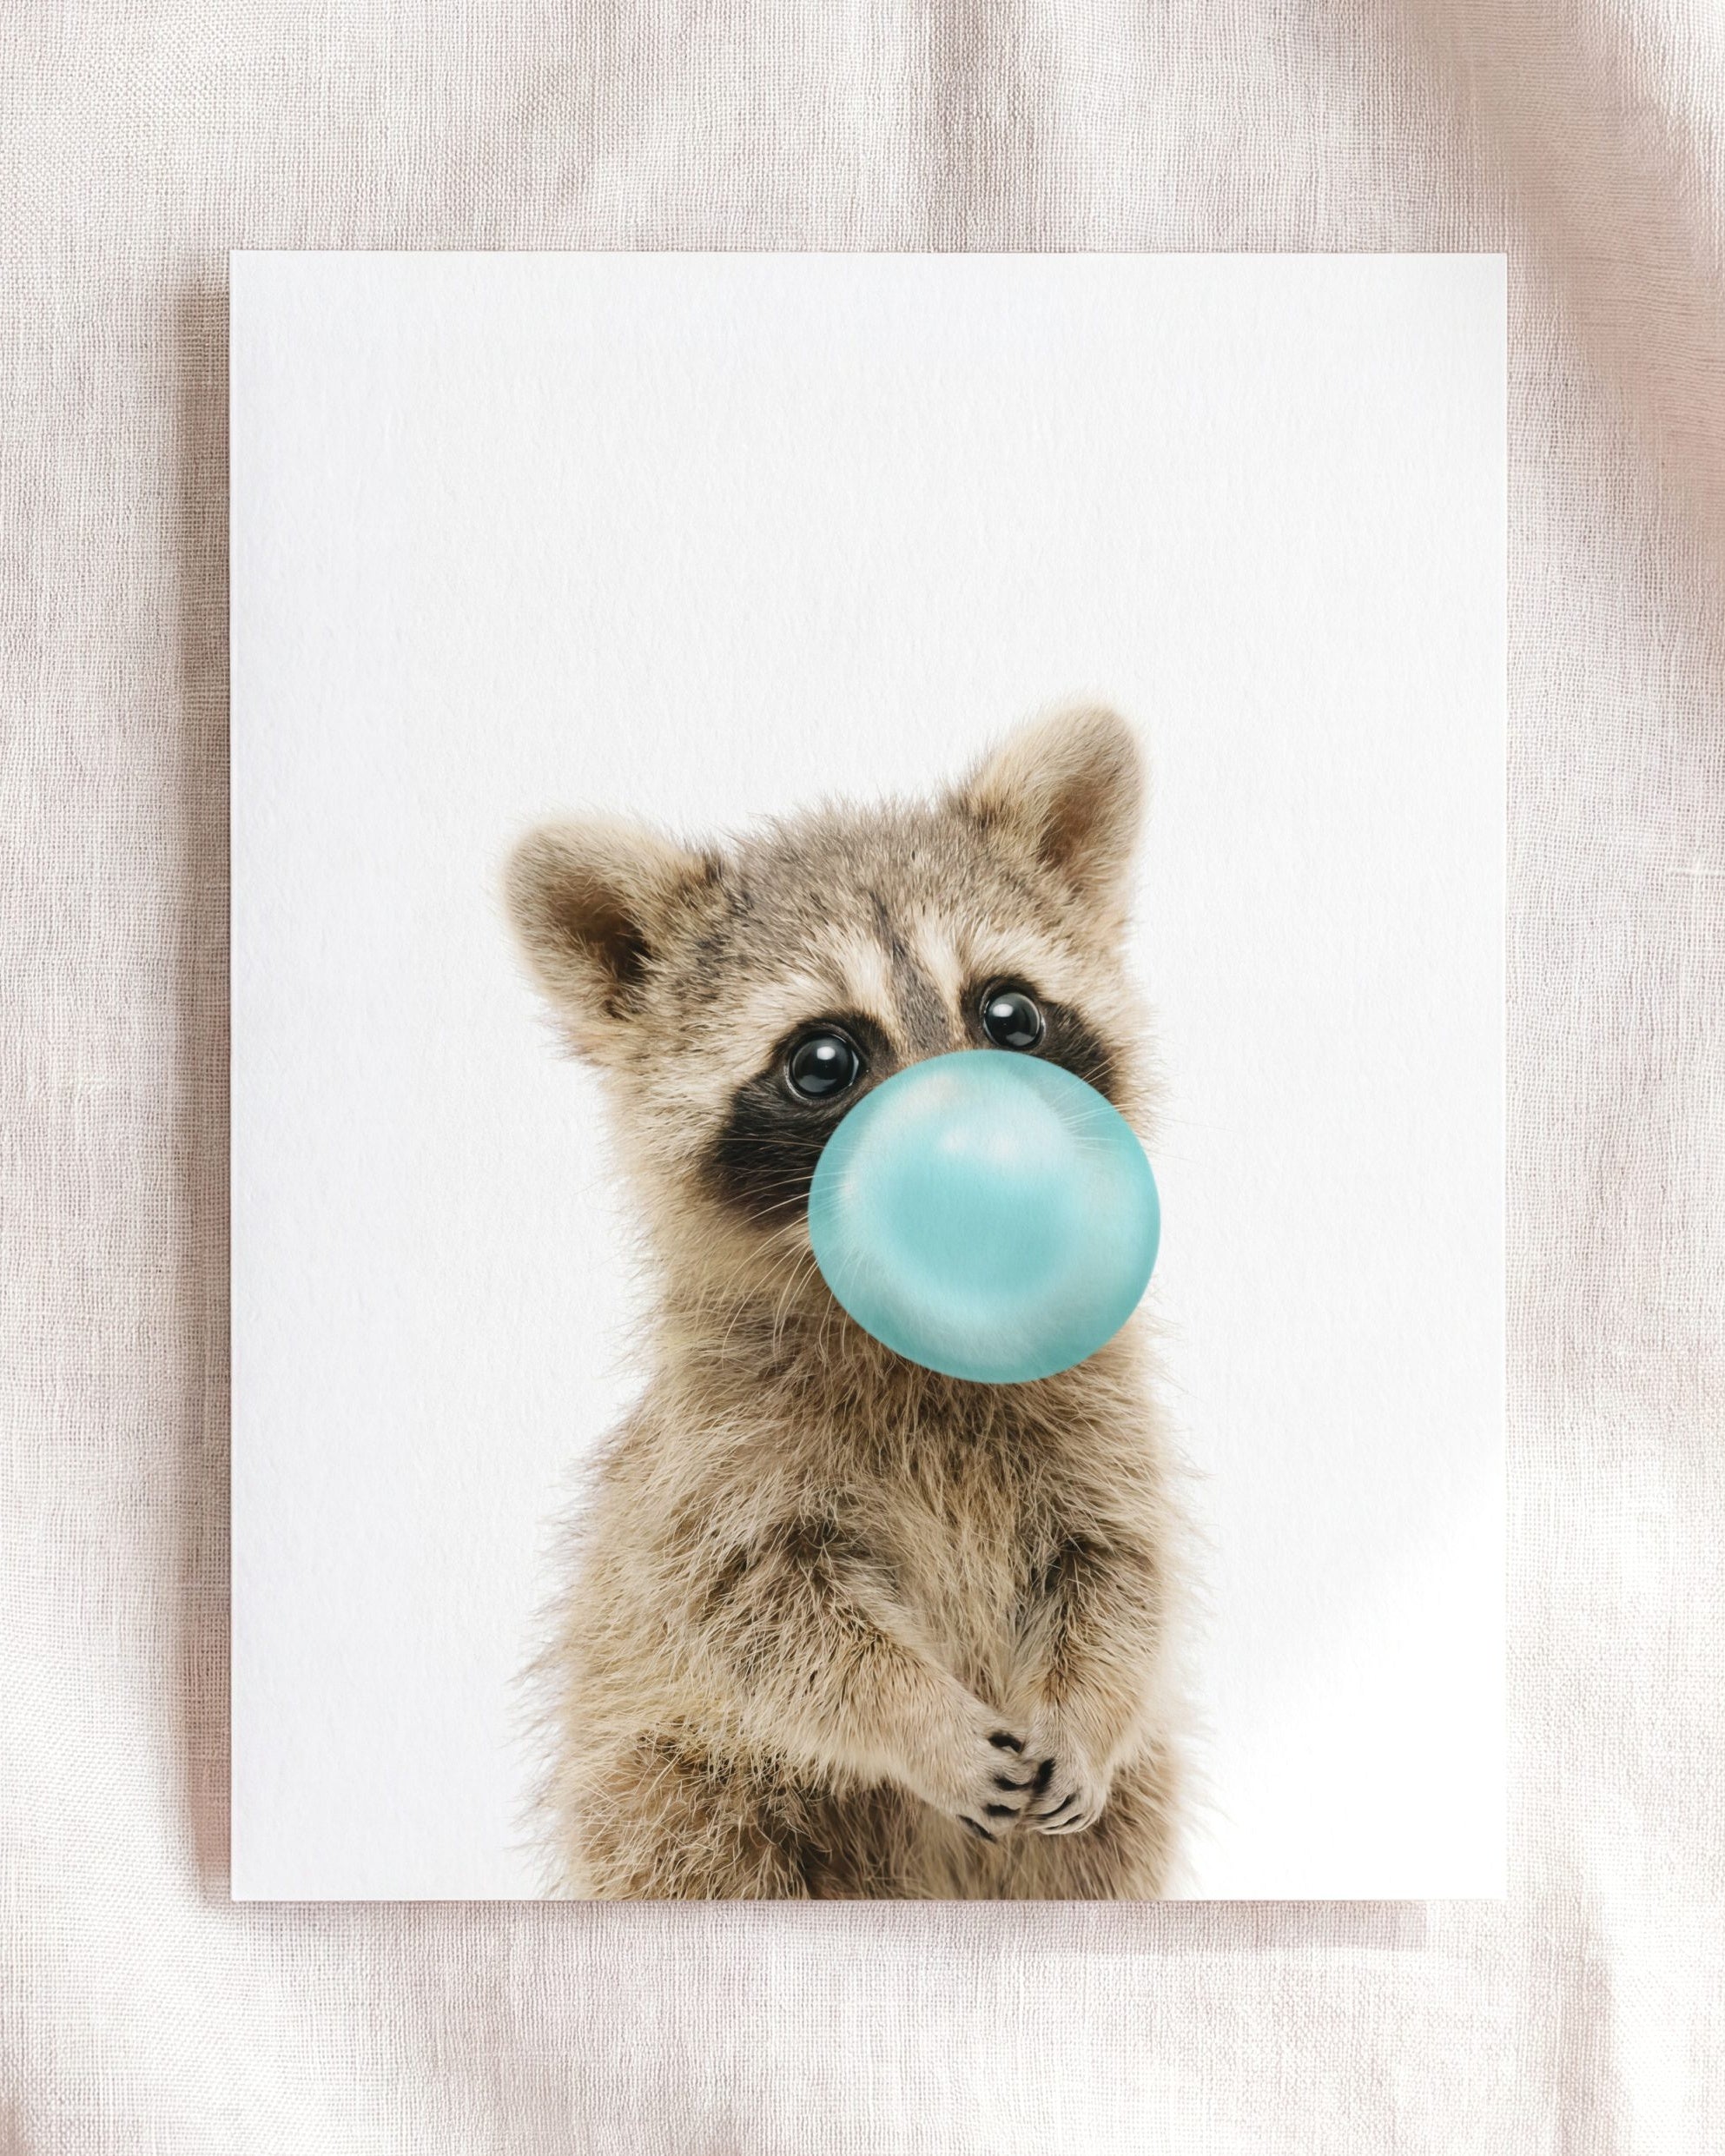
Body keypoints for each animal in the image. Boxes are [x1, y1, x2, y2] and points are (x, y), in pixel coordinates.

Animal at [505, 706, 1185, 1898]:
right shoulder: (717, 1458)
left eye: (1011, 1013)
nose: (980, 1169)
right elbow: (769, 1620)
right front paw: (920, 1721)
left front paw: (1086, 1708)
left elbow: (1118, 1571)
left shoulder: (1097, 1411)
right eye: (823, 1060)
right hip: (677, 1790)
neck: (938, 1309)